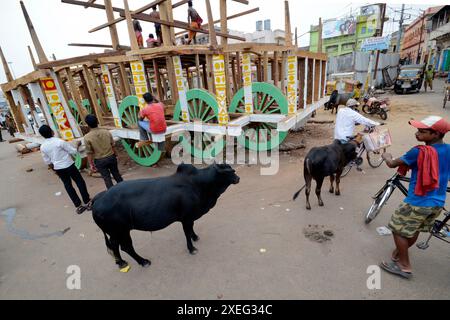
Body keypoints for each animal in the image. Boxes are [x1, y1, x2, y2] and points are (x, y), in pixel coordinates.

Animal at [91, 164, 239, 272]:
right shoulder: (186, 218)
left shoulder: (190, 217)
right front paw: (192, 249)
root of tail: (98, 198)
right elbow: (186, 233)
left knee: (114, 246)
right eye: (229, 172)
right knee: (126, 247)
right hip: (121, 231)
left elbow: (191, 228)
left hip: (115, 233)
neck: (198, 184)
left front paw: (195, 237)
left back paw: (121, 262)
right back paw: (143, 261)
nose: (237, 178)